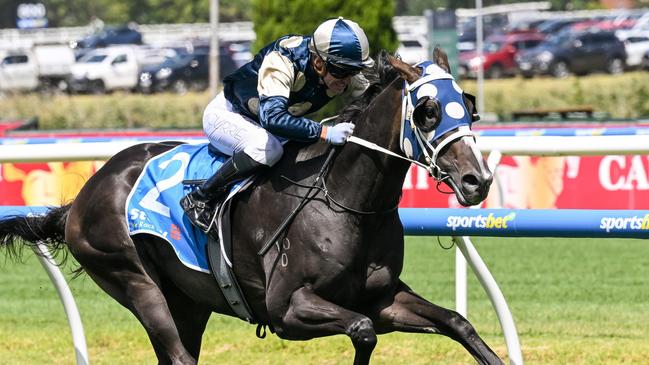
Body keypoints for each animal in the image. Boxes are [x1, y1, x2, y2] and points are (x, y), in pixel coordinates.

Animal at [0, 49, 502, 364]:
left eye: (469, 105)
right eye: (428, 111)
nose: (477, 180)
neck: (344, 199)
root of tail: (84, 196)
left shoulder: (381, 298)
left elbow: (457, 322)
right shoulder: (287, 308)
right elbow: (362, 330)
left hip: (188, 300)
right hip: (135, 280)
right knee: (176, 353)